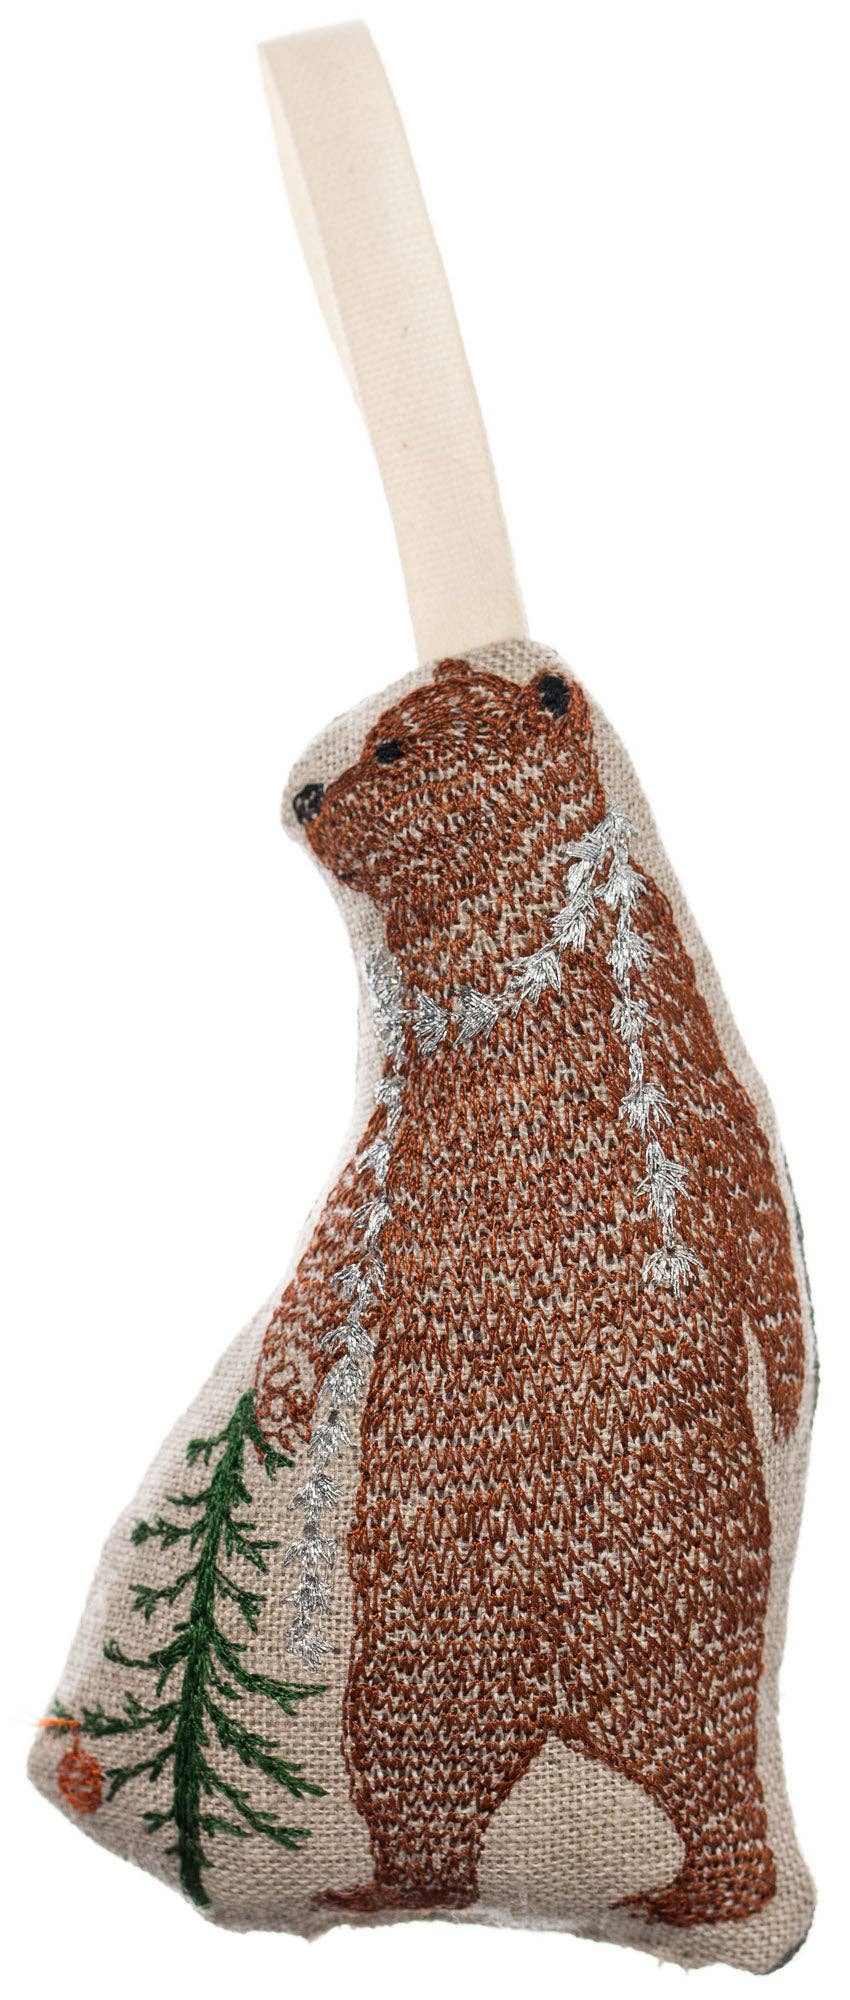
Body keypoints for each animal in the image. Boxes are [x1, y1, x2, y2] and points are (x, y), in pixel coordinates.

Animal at [254, 656, 805, 1928]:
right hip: (415, 1628)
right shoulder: (405, 1107)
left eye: (392, 747)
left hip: (664, 1606)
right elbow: (342, 1240)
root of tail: (555, 1700)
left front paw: (793, 1385)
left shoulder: (659, 1008)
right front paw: (280, 1392)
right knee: (416, 1760)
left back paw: (707, 1891)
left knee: (707, 1752)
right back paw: (390, 1880)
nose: (304, 794)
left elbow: (737, 1169)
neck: (496, 966)